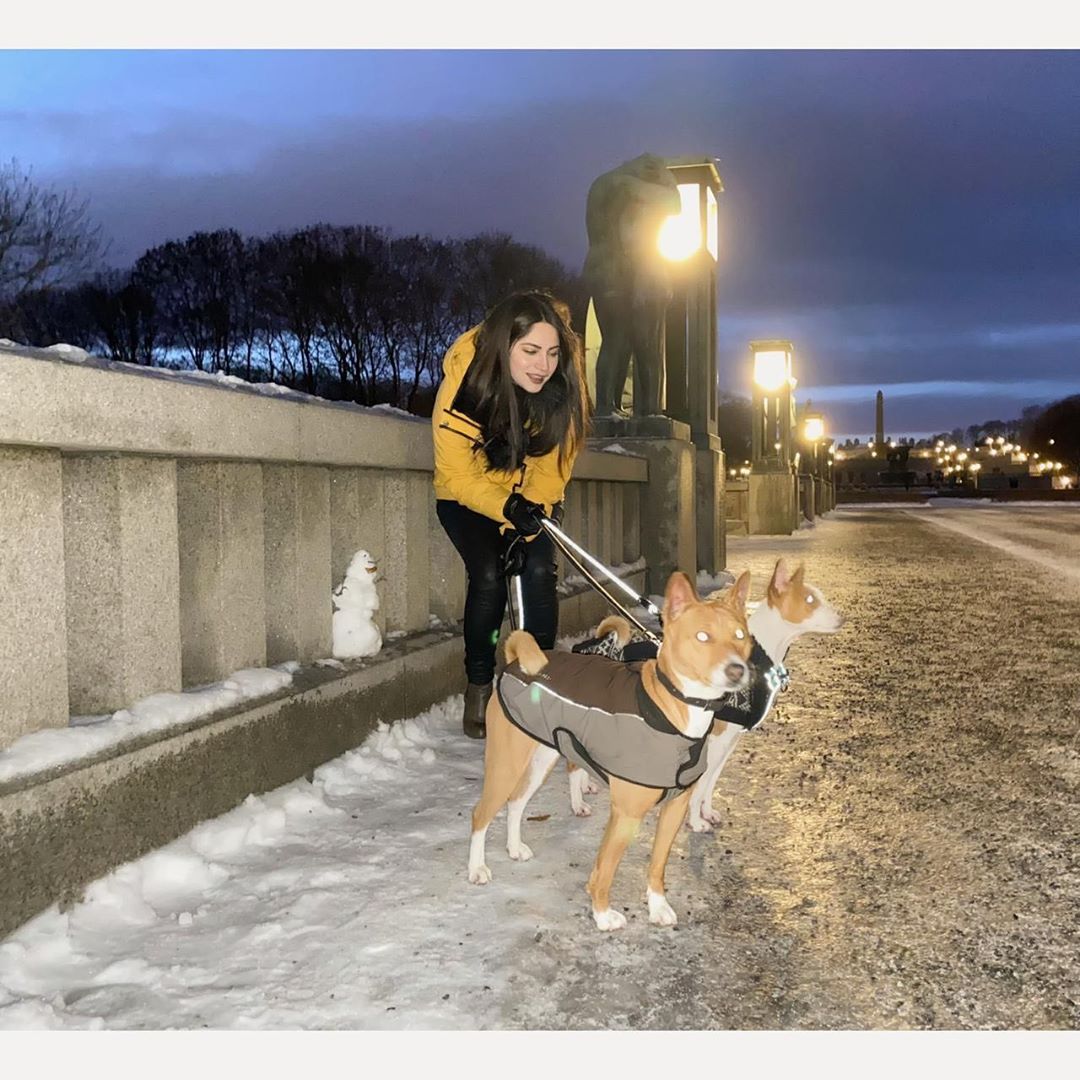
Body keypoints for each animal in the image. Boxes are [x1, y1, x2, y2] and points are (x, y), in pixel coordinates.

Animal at [468, 570, 756, 933]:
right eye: (702, 636)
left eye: (740, 636)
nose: (737, 670)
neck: (673, 712)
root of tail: (517, 662)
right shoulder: (626, 814)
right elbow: (604, 870)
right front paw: (603, 915)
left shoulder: (674, 808)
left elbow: (657, 866)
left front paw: (657, 907)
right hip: (506, 764)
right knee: (481, 814)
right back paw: (476, 868)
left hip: (541, 759)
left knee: (516, 802)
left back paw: (514, 847)